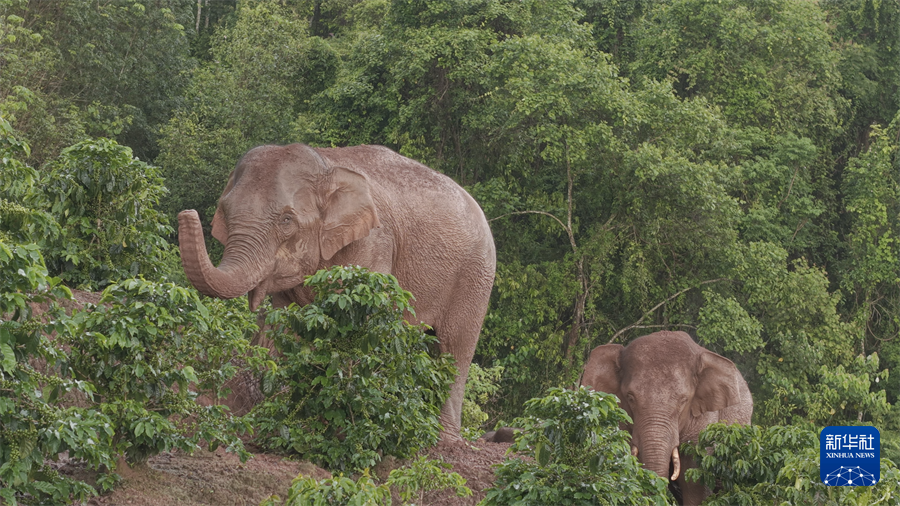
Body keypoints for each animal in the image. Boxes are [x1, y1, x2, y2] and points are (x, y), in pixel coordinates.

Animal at [177, 143, 496, 437]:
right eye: (226, 212)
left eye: (286, 220)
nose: (186, 213)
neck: (326, 165)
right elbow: (288, 328)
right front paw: (285, 416)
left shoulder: (373, 245)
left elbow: (359, 325)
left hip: (476, 275)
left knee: (454, 347)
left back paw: (443, 437)